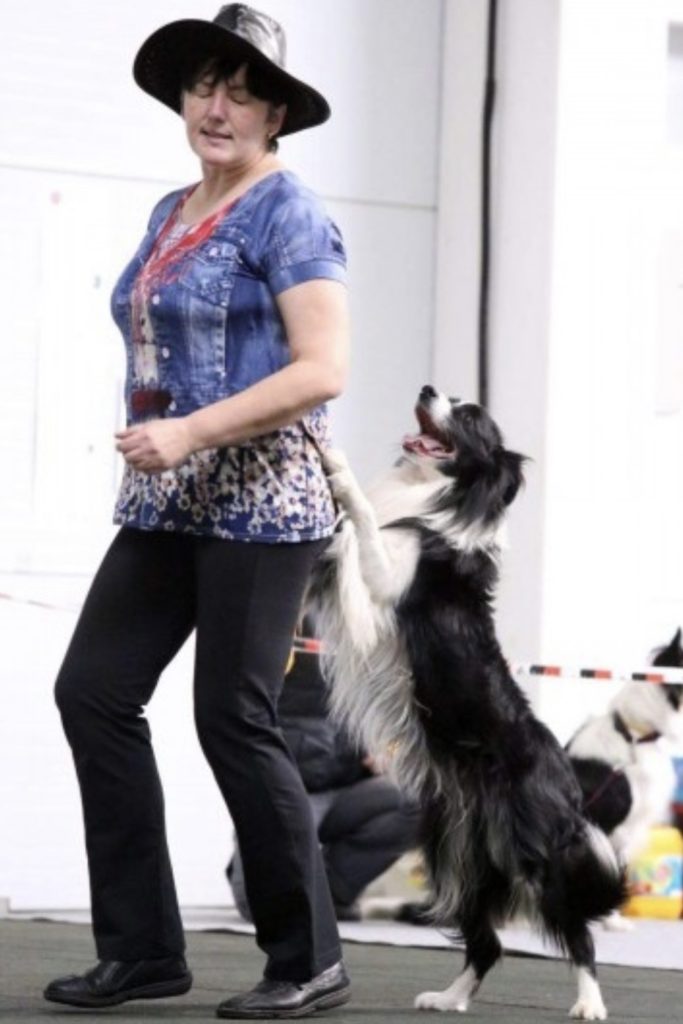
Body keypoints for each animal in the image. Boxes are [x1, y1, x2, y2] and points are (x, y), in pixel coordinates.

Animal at [308, 385, 626, 1020]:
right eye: (448, 397)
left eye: (469, 415)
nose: (428, 389)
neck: (437, 492)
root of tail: (570, 788)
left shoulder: (387, 579)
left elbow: (365, 523)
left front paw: (339, 469)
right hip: (461, 857)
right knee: (488, 944)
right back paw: (448, 997)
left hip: (535, 859)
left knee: (578, 933)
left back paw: (590, 1003)